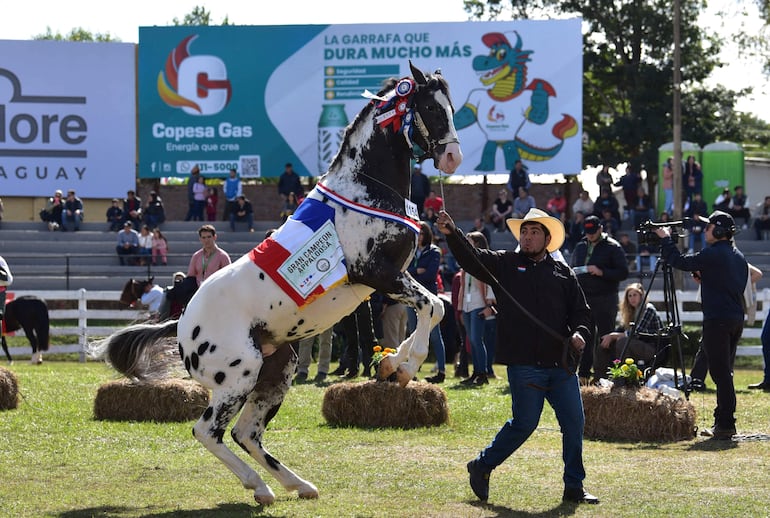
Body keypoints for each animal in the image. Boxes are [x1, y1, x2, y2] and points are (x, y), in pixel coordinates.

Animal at [90, 62, 462, 508]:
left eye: (452, 106)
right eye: (430, 107)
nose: (453, 156)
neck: (365, 191)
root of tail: (181, 324)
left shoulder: (385, 283)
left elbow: (430, 310)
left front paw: (391, 364)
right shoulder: (375, 273)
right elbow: (432, 307)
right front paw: (406, 367)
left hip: (277, 368)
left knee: (245, 432)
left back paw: (295, 485)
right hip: (240, 375)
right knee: (208, 431)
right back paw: (260, 486)